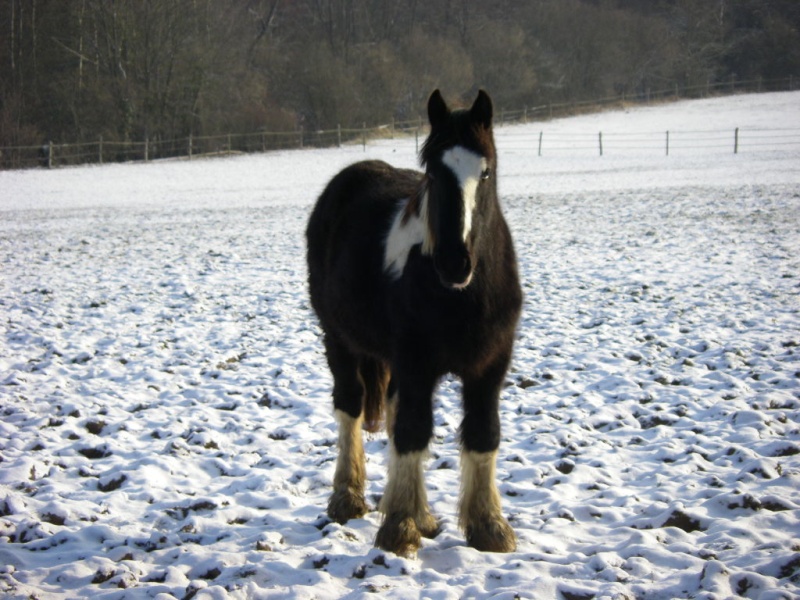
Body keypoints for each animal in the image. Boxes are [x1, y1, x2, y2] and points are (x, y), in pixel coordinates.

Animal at [306, 89, 524, 556]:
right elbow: (412, 431)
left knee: (388, 408)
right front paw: (400, 528)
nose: (455, 262)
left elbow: (483, 434)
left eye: (486, 171)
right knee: (351, 406)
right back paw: (348, 497)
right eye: (433, 172)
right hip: (339, 340)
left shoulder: (489, 368)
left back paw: (419, 512)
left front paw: (488, 527)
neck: (464, 297)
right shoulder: (417, 364)